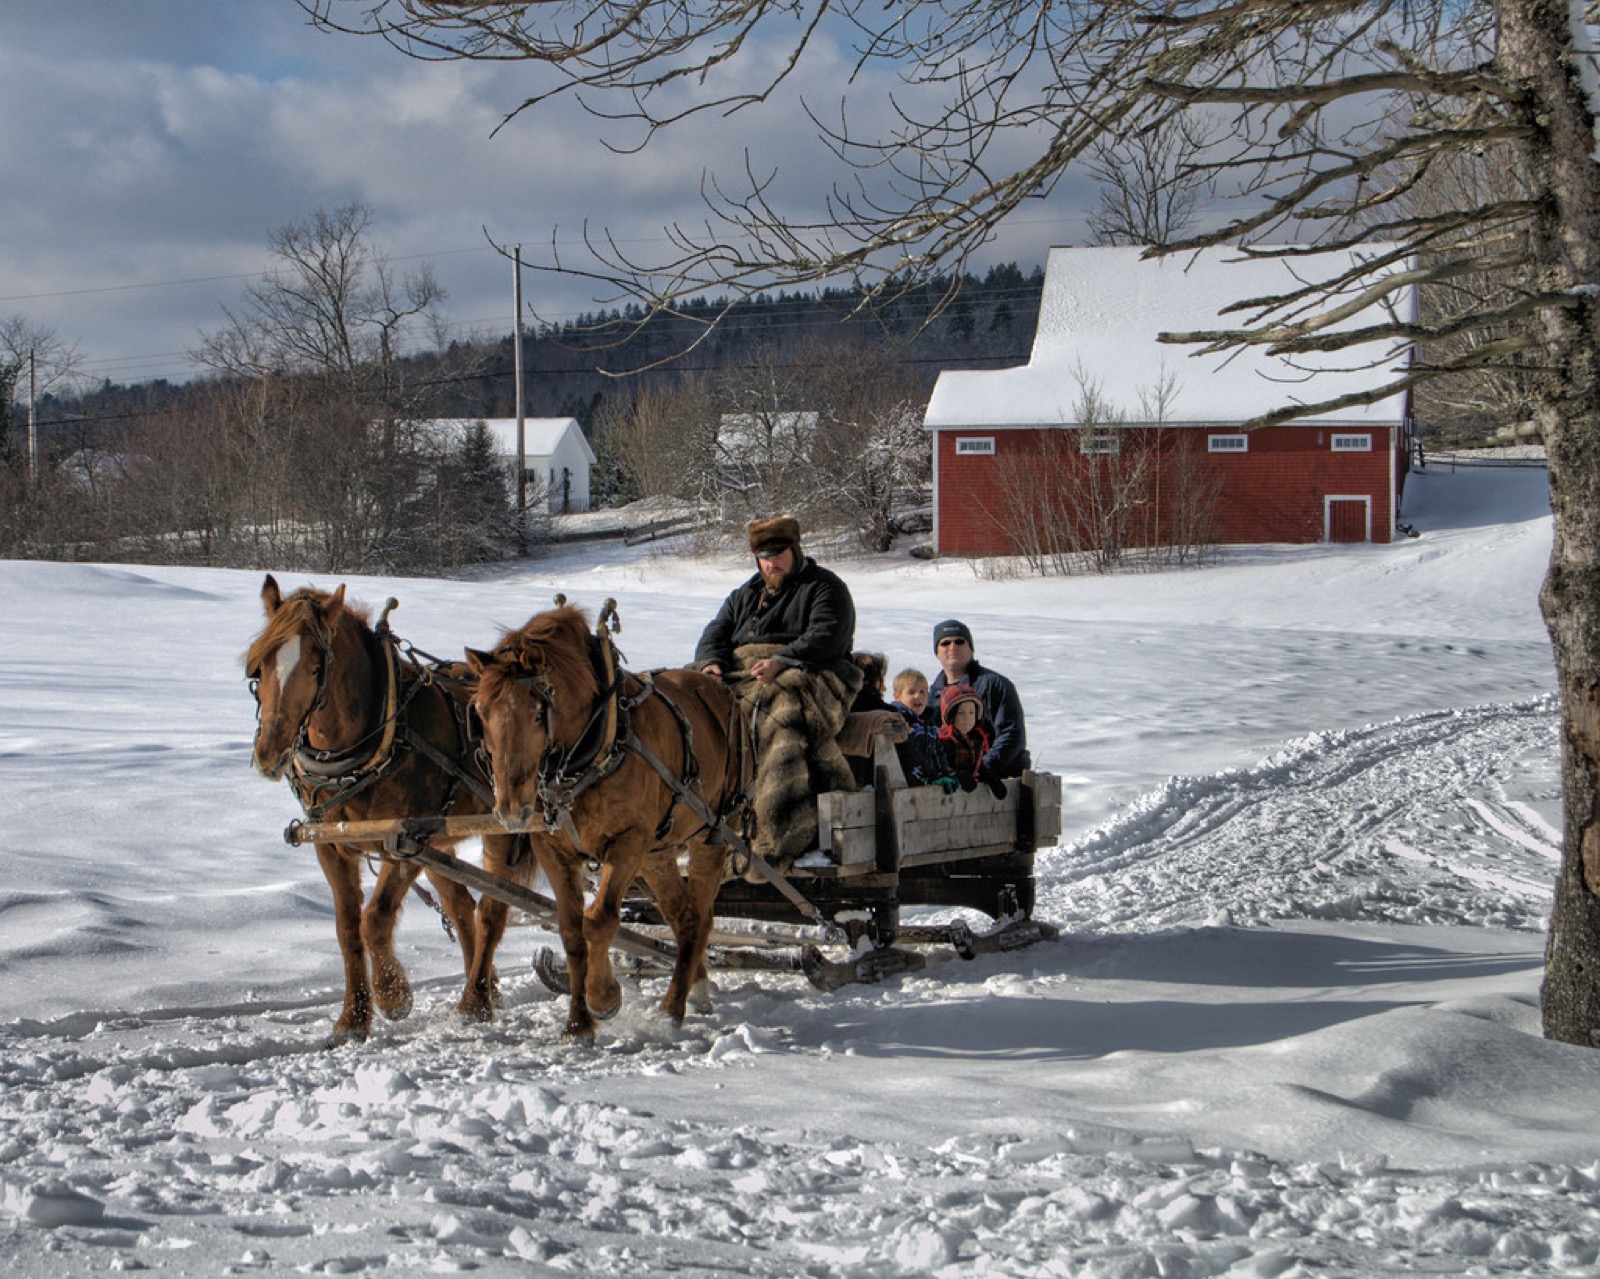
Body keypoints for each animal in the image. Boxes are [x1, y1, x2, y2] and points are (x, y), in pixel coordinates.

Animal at [246, 576, 524, 1043]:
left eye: (316, 667)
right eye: (260, 667)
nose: (269, 753)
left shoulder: (407, 840)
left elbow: (373, 919)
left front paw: (393, 995)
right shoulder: (331, 845)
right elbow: (346, 928)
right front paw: (353, 1019)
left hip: (500, 829)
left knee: (492, 910)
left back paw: (477, 1000)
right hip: (442, 840)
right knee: (461, 905)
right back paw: (485, 988)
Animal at [467, 608, 752, 1037]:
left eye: (537, 713)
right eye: (481, 712)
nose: (511, 810)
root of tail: (721, 690)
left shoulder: (627, 842)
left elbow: (598, 921)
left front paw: (603, 998)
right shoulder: (553, 849)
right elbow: (572, 931)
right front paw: (578, 1024)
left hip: (712, 833)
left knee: (699, 919)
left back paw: (673, 1009)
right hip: (658, 851)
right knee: (683, 916)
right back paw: (694, 993)